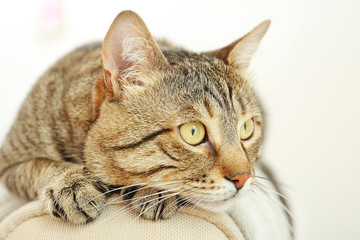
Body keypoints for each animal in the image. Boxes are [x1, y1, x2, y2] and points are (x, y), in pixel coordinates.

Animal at [0, 9, 292, 240]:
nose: (243, 178)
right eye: (193, 132)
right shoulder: (8, 162)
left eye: (247, 129)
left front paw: (153, 191)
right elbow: (38, 166)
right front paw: (70, 183)